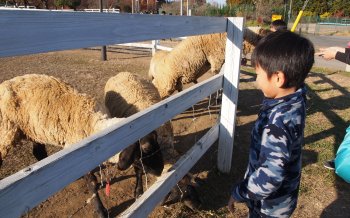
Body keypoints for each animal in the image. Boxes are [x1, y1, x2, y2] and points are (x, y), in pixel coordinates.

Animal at [0, 73, 163, 218]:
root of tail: (6, 83)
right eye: (146, 148)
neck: (95, 125)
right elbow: (92, 183)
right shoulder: (83, 154)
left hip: (34, 129)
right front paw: (101, 212)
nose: (161, 170)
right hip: (5, 132)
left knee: (39, 152)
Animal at [104, 72, 201, 209]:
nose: (198, 205)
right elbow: (138, 173)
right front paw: (138, 192)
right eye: (184, 192)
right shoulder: (135, 155)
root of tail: (122, 73)